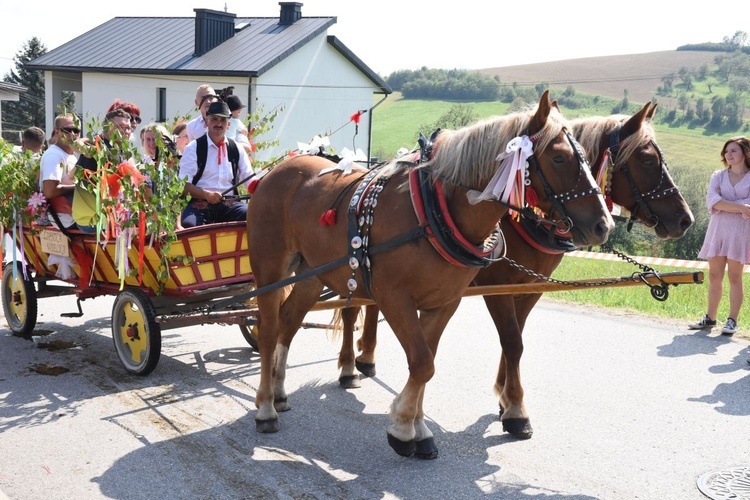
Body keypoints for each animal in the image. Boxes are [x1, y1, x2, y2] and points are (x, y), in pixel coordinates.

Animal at [250, 92, 612, 458]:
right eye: (559, 157)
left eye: (587, 158)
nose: (604, 225)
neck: (436, 209)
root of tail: (275, 171)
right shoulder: (396, 298)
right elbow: (424, 361)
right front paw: (403, 429)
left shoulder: (445, 302)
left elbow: (426, 361)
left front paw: (416, 427)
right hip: (270, 270)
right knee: (268, 330)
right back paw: (265, 408)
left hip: (311, 273)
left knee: (289, 321)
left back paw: (279, 393)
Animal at [338, 103, 696, 440]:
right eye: (647, 161)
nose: (686, 219)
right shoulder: (497, 285)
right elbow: (512, 341)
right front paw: (516, 410)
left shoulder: (528, 287)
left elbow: (515, 340)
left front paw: (505, 397)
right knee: (352, 308)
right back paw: (350, 367)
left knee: (371, 304)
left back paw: (366, 356)